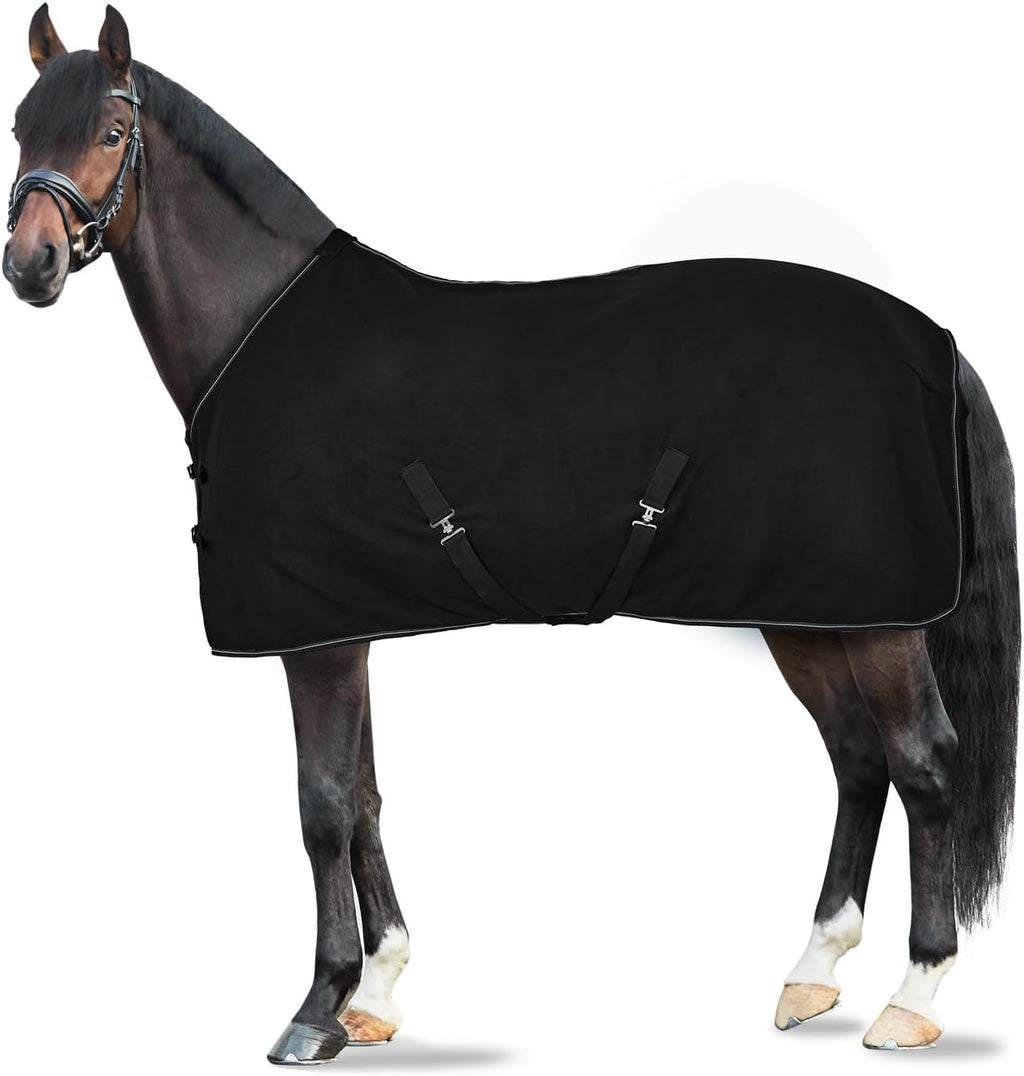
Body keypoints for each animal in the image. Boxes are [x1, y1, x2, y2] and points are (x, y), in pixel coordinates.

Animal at [5, 4, 1019, 1064]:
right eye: (21, 129)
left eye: (110, 133)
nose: (30, 265)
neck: (259, 330)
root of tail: (938, 345)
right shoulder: (349, 624)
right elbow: (366, 795)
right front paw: (378, 992)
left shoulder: (315, 640)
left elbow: (322, 806)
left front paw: (317, 1007)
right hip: (810, 613)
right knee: (858, 760)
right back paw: (813, 972)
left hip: (879, 620)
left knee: (924, 763)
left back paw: (914, 995)